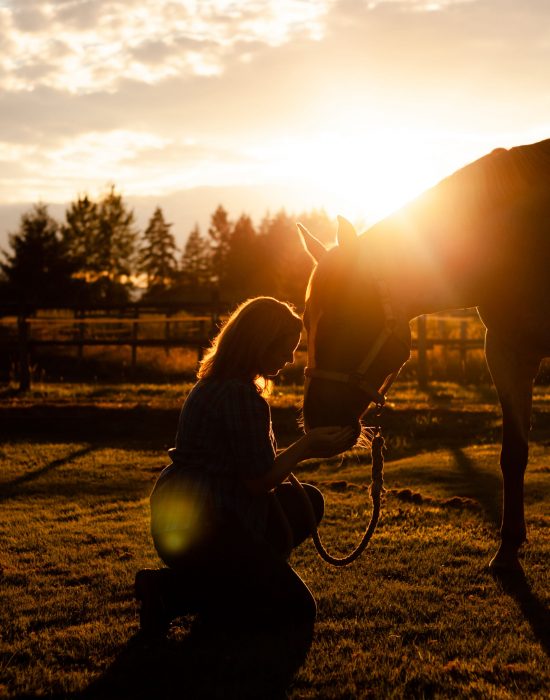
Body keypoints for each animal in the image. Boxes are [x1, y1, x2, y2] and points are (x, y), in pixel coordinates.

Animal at [300, 134, 550, 572]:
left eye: (348, 318)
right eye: (303, 322)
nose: (317, 421)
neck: (522, 239)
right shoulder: (507, 352)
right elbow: (513, 453)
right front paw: (507, 548)